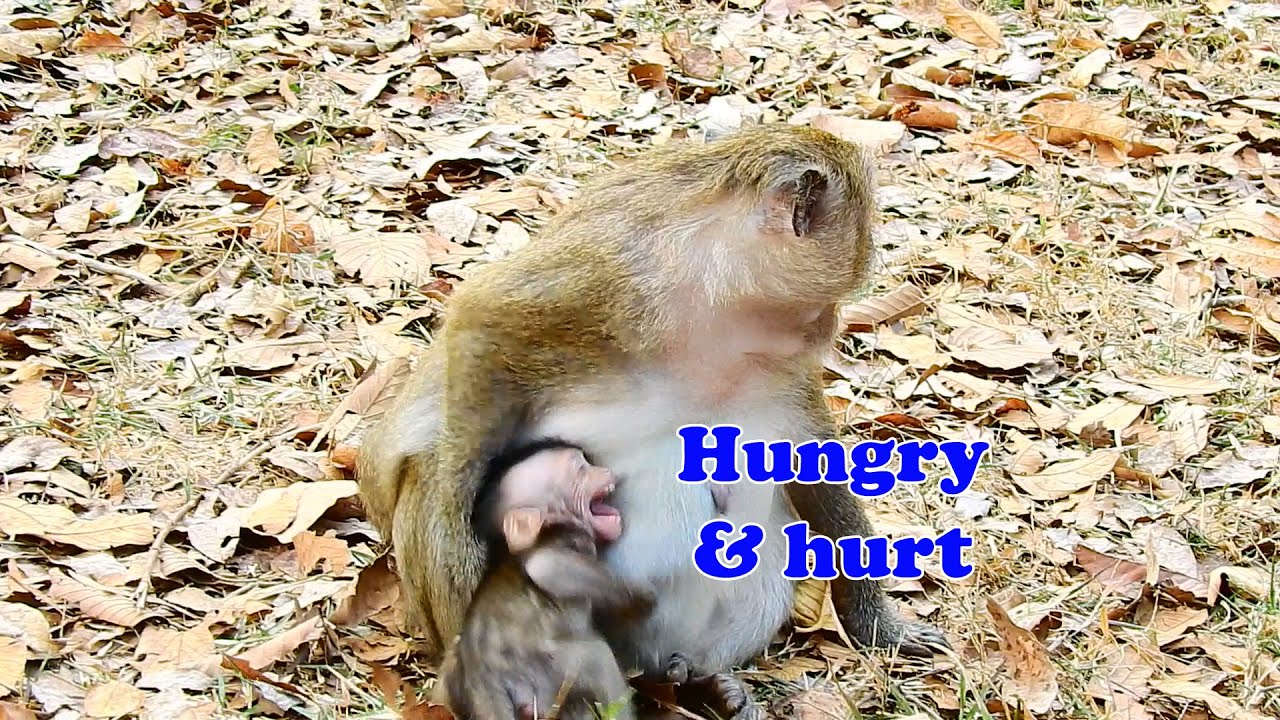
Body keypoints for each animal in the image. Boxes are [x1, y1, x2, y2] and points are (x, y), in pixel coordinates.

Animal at [433, 439, 652, 720]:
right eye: (581, 469)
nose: (607, 471)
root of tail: (481, 680)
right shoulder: (565, 538)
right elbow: (545, 567)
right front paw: (639, 596)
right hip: (547, 671)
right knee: (597, 657)